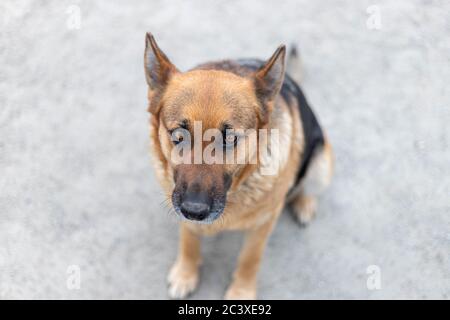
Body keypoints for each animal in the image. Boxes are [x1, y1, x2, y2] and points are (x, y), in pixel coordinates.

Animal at [144, 33, 334, 300]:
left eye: (230, 139)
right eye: (179, 136)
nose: (194, 210)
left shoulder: (263, 225)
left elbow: (249, 259)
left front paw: (242, 291)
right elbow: (188, 241)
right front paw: (185, 273)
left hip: (321, 165)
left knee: (306, 185)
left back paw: (304, 202)